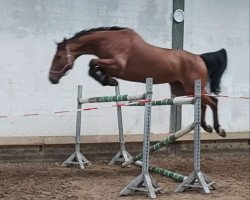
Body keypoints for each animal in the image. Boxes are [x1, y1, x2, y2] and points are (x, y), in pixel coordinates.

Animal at [48, 26, 227, 138]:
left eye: (58, 56)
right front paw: (108, 80)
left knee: (213, 102)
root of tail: (199, 58)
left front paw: (109, 81)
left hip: (192, 87)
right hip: (184, 90)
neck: (108, 40)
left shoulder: (117, 64)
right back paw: (205, 126)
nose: (52, 78)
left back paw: (219, 129)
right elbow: (94, 67)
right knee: (203, 104)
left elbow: (92, 63)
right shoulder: (109, 65)